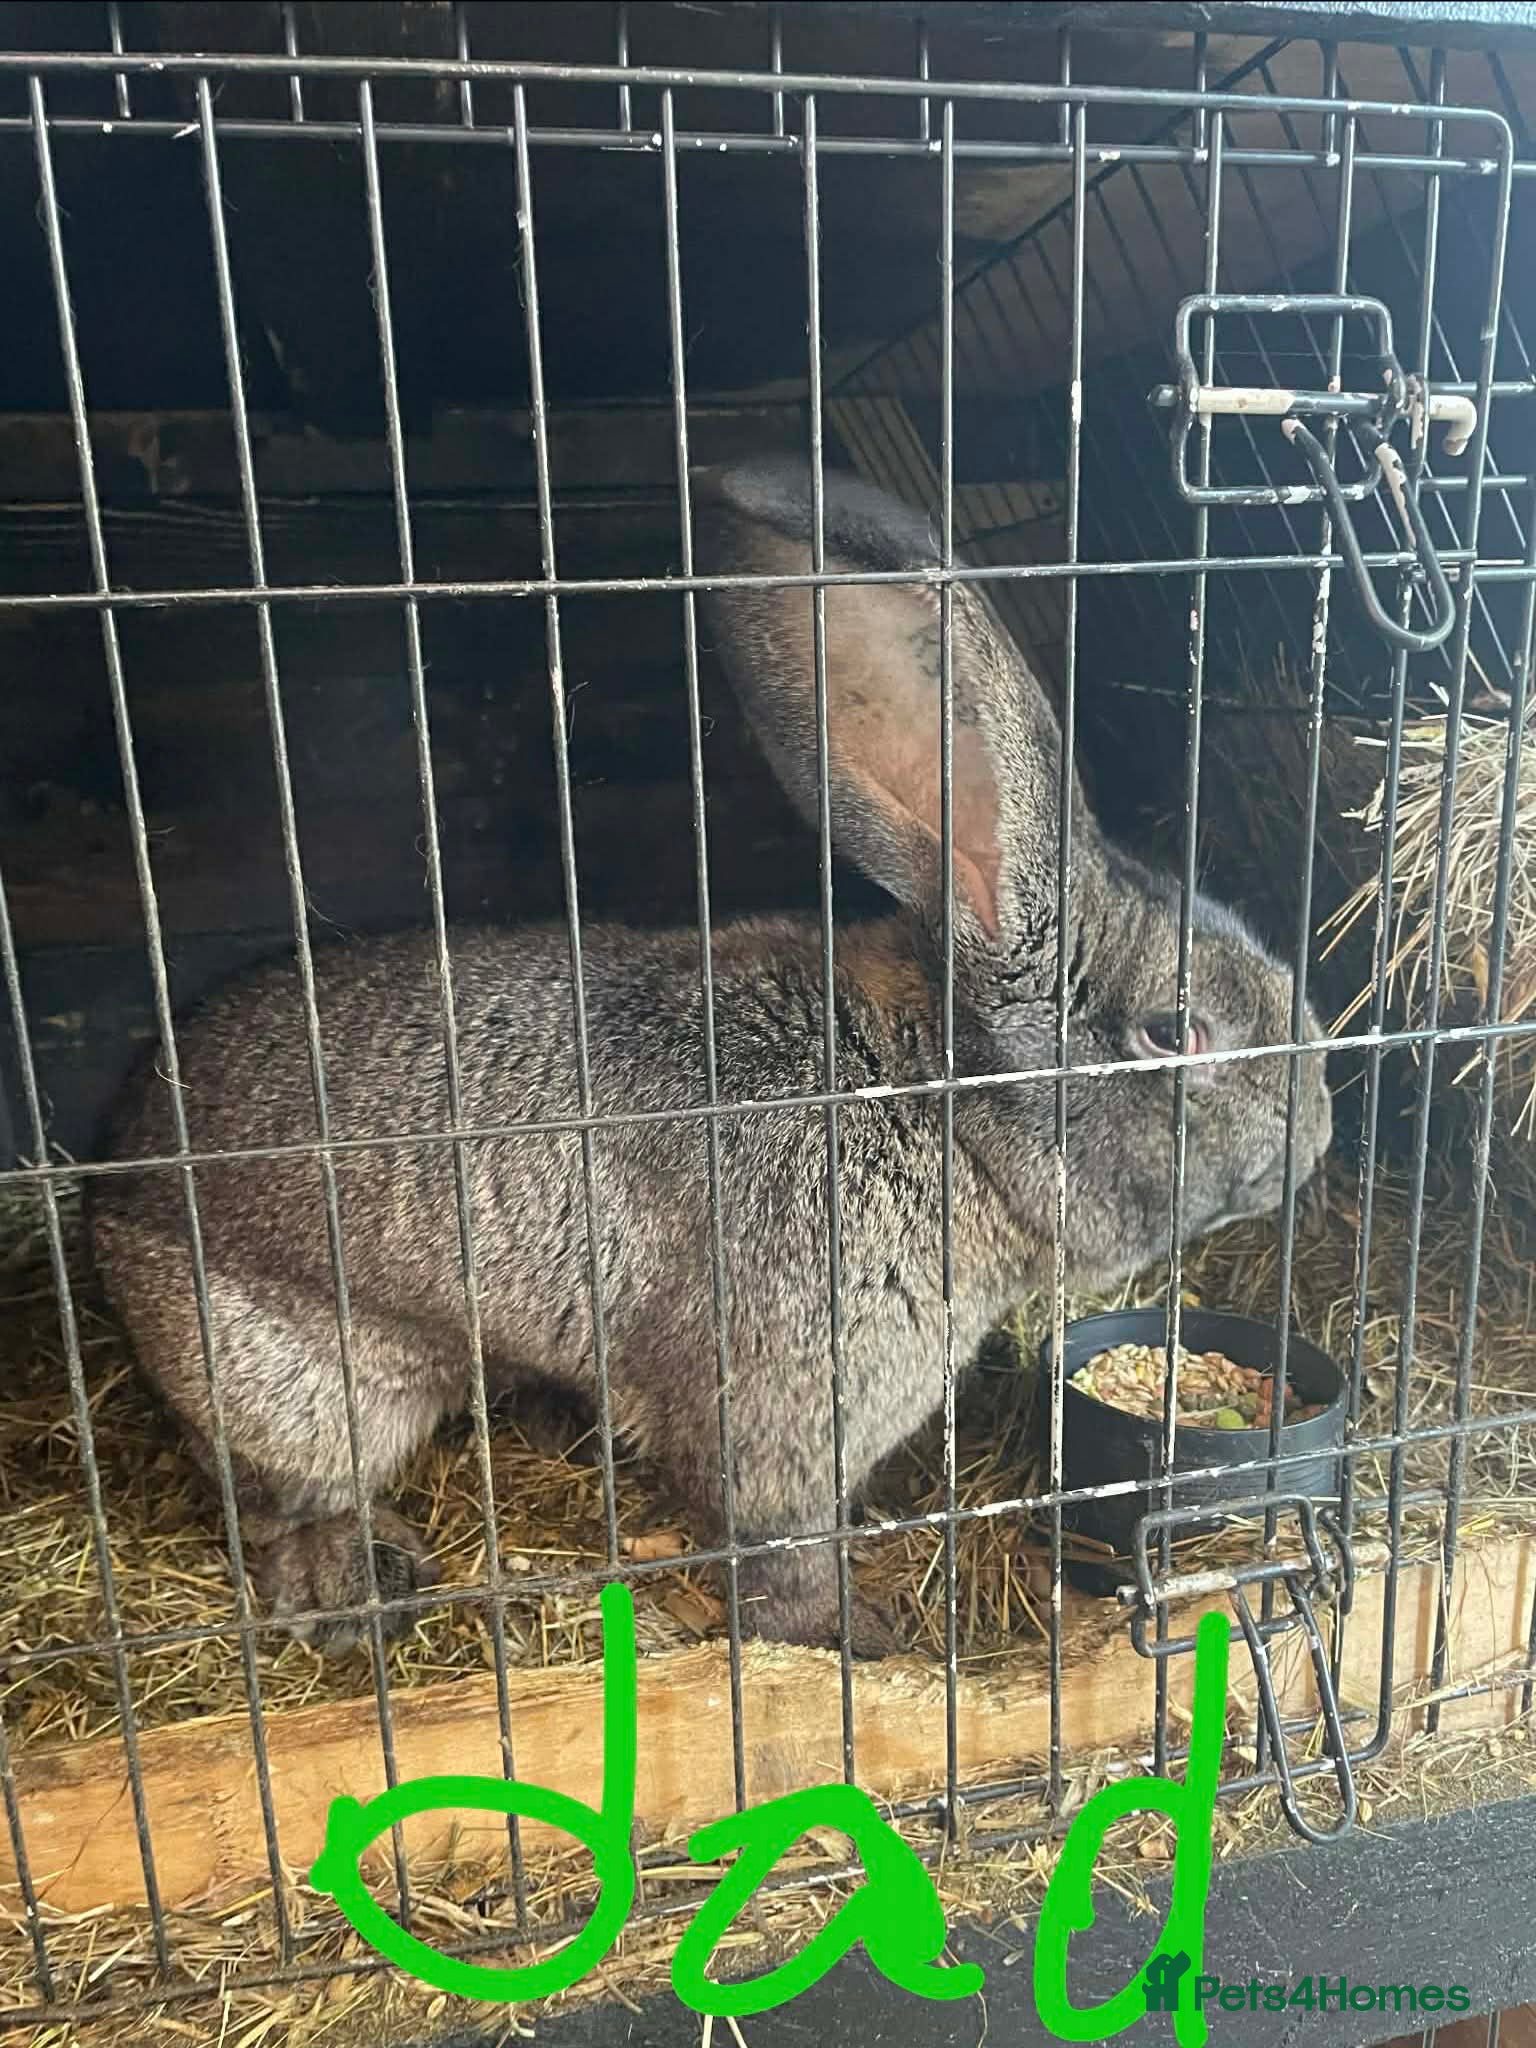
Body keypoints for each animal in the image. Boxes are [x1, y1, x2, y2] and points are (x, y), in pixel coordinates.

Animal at [88, 456, 1332, 1660]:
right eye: (1176, 1030)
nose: (1320, 1120)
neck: (937, 1107)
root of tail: (119, 1174)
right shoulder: (783, 1420)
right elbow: (779, 1552)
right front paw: (855, 1640)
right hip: (297, 1374)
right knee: (275, 1490)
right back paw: (354, 1582)